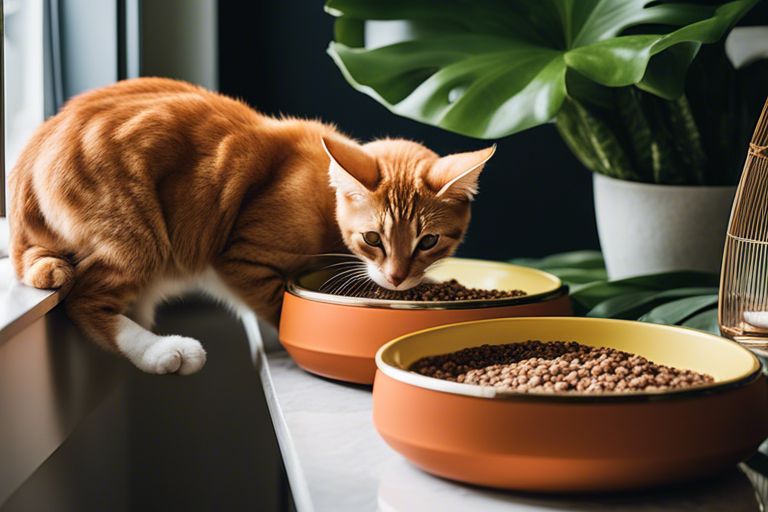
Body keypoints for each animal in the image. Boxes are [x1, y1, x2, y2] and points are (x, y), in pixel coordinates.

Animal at [9, 79, 496, 376]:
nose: (396, 277)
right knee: (86, 300)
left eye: (428, 241)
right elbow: (280, 308)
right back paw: (162, 351)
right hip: (136, 237)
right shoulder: (244, 259)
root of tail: (32, 150)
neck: (325, 198)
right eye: (373, 238)